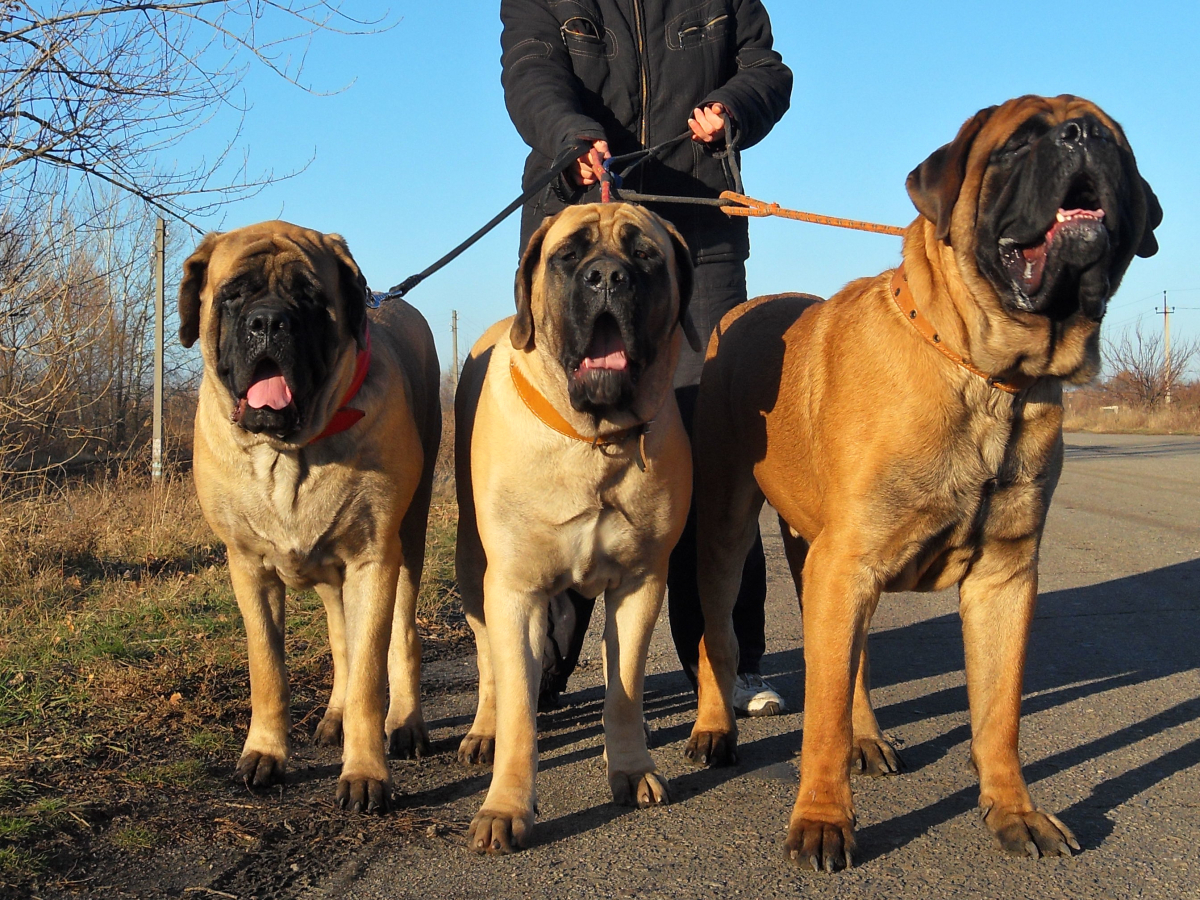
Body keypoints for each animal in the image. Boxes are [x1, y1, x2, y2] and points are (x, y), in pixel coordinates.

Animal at [177, 220, 441, 816]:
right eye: (233, 294)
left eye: (309, 297)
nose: (269, 321)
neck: (290, 453)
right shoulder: (248, 566)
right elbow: (268, 668)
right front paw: (265, 754)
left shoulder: (373, 560)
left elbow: (369, 672)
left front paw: (365, 773)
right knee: (341, 638)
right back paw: (334, 716)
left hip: (406, 540)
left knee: (399, 636)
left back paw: (406, 724)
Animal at [453, 200, 696, 854]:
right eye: (568, 255)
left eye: (645, 255)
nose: (608, 277)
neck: (594, 442)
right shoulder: (514, 590)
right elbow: (517, 706)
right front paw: (506, 806)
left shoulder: (641, 583)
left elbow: (625, 688)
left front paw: (632, 770)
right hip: (472, 566)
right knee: (489, 664)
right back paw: (483, 728)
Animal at [686, 97, 1161, 873]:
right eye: (1016, 146)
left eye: (1116, 144)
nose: (1083, 136)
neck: (987, 373)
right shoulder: (845, 564)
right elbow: (817, 719)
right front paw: (821, 822)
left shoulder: (1002, 578)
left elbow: (999, 714)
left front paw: (1014, 812)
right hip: (729, 532)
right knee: (718, 637)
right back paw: (714, 730)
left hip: (817, 553)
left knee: (853, 664)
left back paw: (868, 736)